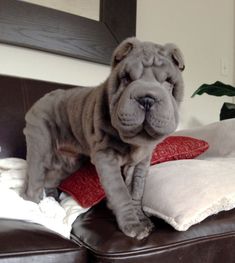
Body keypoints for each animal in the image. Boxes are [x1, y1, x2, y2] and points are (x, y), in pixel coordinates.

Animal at [22, 37, 185, 241]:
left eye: (168, 82)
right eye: (126, 78)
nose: (147, 99)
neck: (135, 142)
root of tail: (40, 100)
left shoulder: (141, 164)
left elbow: (136, 192)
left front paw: (142, 220)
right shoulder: (106, 157)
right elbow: (121, 193)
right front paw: (133, 226)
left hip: (69, 163)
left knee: (51, 179)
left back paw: (54, 203)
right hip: (40, 145)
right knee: (35, 181)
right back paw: (34, 208)